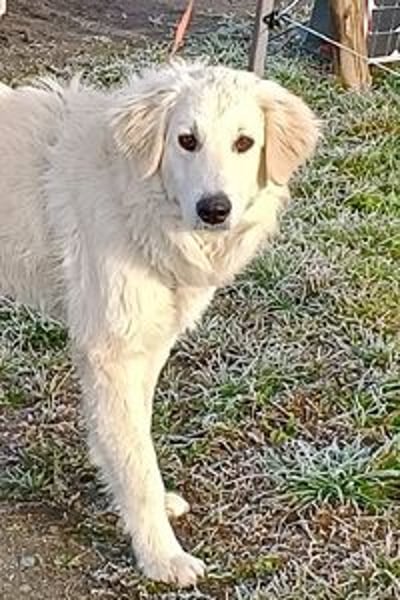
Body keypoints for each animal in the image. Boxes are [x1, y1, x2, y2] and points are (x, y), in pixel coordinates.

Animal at [0, 60, 319, 586]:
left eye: (244, 143)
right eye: (186, 140)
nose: (214, 210)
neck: (132, 194)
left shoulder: (148, 345)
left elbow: (133, 435)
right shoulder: (110, 351)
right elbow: (137, 462)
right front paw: (161, 557)